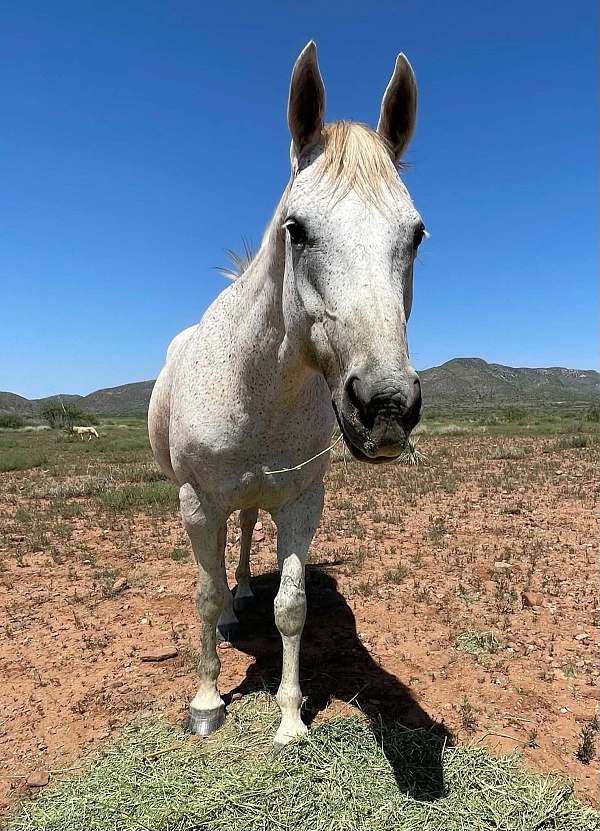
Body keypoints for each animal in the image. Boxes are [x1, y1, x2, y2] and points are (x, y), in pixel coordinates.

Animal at [148, 41, 425, 750]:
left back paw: (244, 595)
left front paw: (291, 717)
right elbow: (202, 593)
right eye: (296, 229)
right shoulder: (197, 502)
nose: (385, 407)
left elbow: (291, 608)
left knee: (246, 536)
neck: (256, 388)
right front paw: (207, 704)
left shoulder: (303, 500)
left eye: (415, 235)